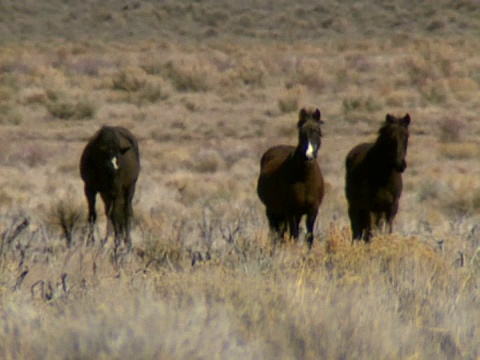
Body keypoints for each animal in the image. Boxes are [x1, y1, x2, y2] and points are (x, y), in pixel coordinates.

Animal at [256, 106, 324, 248]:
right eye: (301, 133)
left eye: (318, 131)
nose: (308, 156)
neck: (304, 179)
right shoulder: (292, 211)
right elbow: (295, 235)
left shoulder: (312, 211)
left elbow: (309, 236)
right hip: (273, 211)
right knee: (277, 233)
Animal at [344, 113, 410, 242]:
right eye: (391, 138)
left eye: (406, 137)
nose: (400, 165)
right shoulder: (370, 207)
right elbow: (369, 233)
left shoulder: (391, 207)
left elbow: (387, 230)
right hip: (355, 207)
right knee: (357, 231)